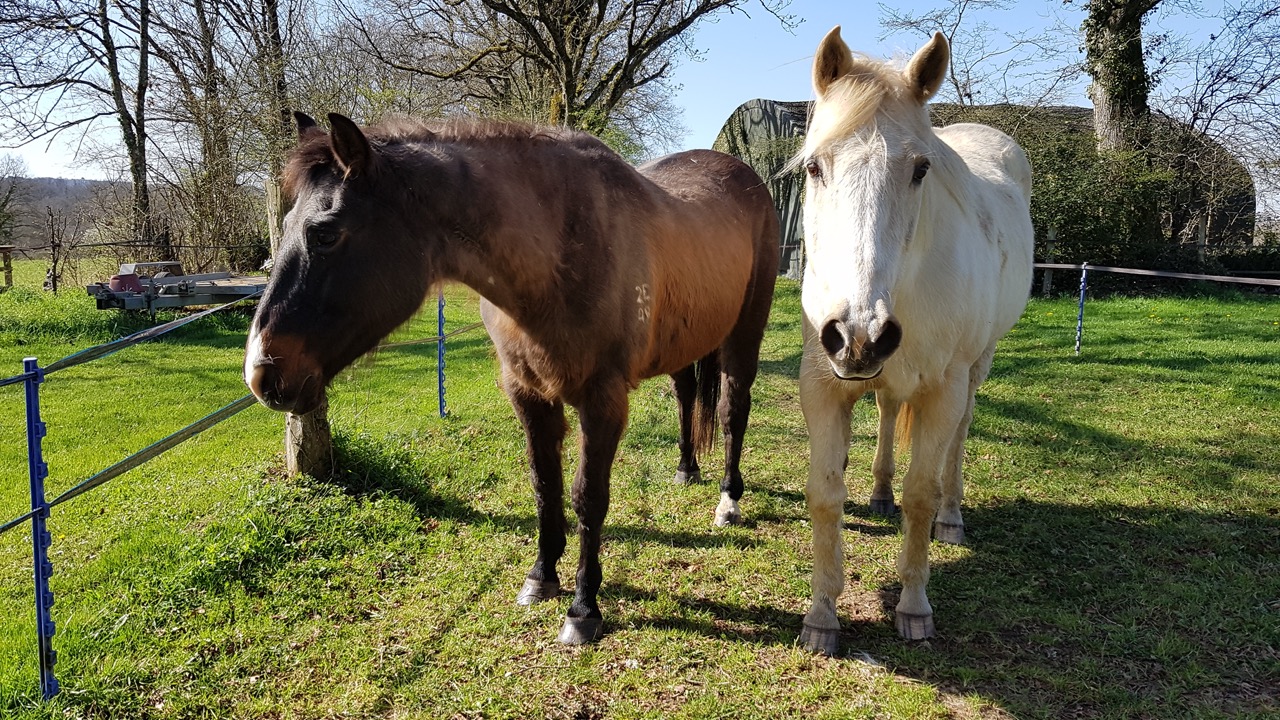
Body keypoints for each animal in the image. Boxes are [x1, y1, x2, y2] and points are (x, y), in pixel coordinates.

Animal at [243, 113, 773, 645]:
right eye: (285, 227)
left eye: (326, 234)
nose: (261, 373)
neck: (561, 250)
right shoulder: (528, 394)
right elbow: (544, 484)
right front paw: (541, 577)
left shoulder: (602, 401)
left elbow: (588, 497)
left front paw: (583, 608)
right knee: (687, 396)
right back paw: (687, 469)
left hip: (743, 334)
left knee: (732, 411)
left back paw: (728, 502)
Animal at [793, 28, 1034, 650]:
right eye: (815, 167)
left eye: (921, 169)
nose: (858, 334)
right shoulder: (822, 383)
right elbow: (824, 494)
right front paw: (821, 615)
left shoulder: (941, 390)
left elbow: (920, 495)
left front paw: (914, 607)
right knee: (883, 410)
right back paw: (879, 493)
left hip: (975, 367)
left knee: (958, 439)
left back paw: (953, 515)